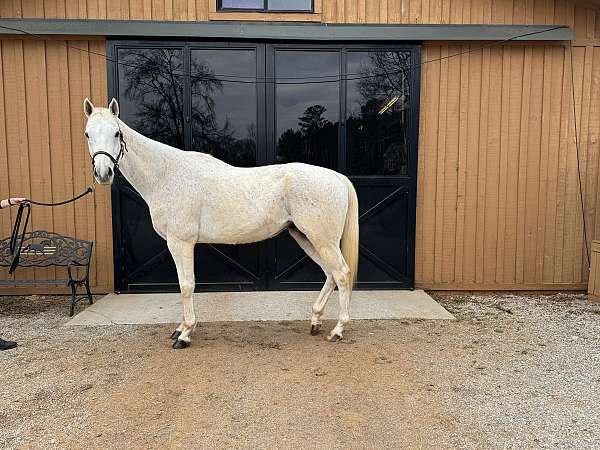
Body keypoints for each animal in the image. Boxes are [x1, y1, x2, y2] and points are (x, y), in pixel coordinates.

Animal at [82, 98, 358, 348]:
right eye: (87, 134)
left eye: (116, 133)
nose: (103, 173)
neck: (167, 175)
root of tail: (337, 177)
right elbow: (184, 285)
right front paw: (180, 328)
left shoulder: (181, 243)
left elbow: (186, 285)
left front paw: (185, 334)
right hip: (305, 237)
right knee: (330, 274)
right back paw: (315, 321)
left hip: (323, 240)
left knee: (342, 274)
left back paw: (337, 330)